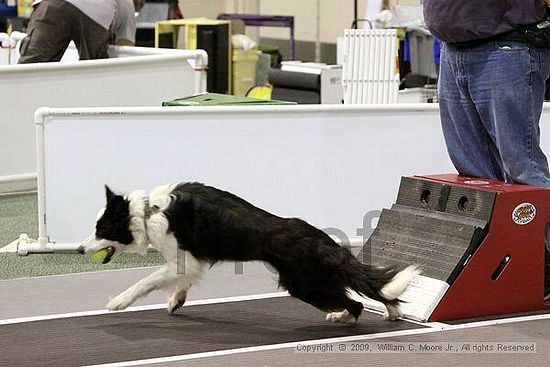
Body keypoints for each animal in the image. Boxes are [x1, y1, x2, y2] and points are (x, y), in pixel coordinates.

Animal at [80, 185, 420, 324]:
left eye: (100, 229)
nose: (81, 249)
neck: (149, 210)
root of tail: (324, 243)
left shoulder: (179, 259)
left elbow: (144, 282)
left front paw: (118, 302)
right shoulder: (190, 262)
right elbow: (184, 281)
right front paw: (177, 300)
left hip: (304, 286)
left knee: (356, 303)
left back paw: (343, 316)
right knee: (370, 291)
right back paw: (390, 312)